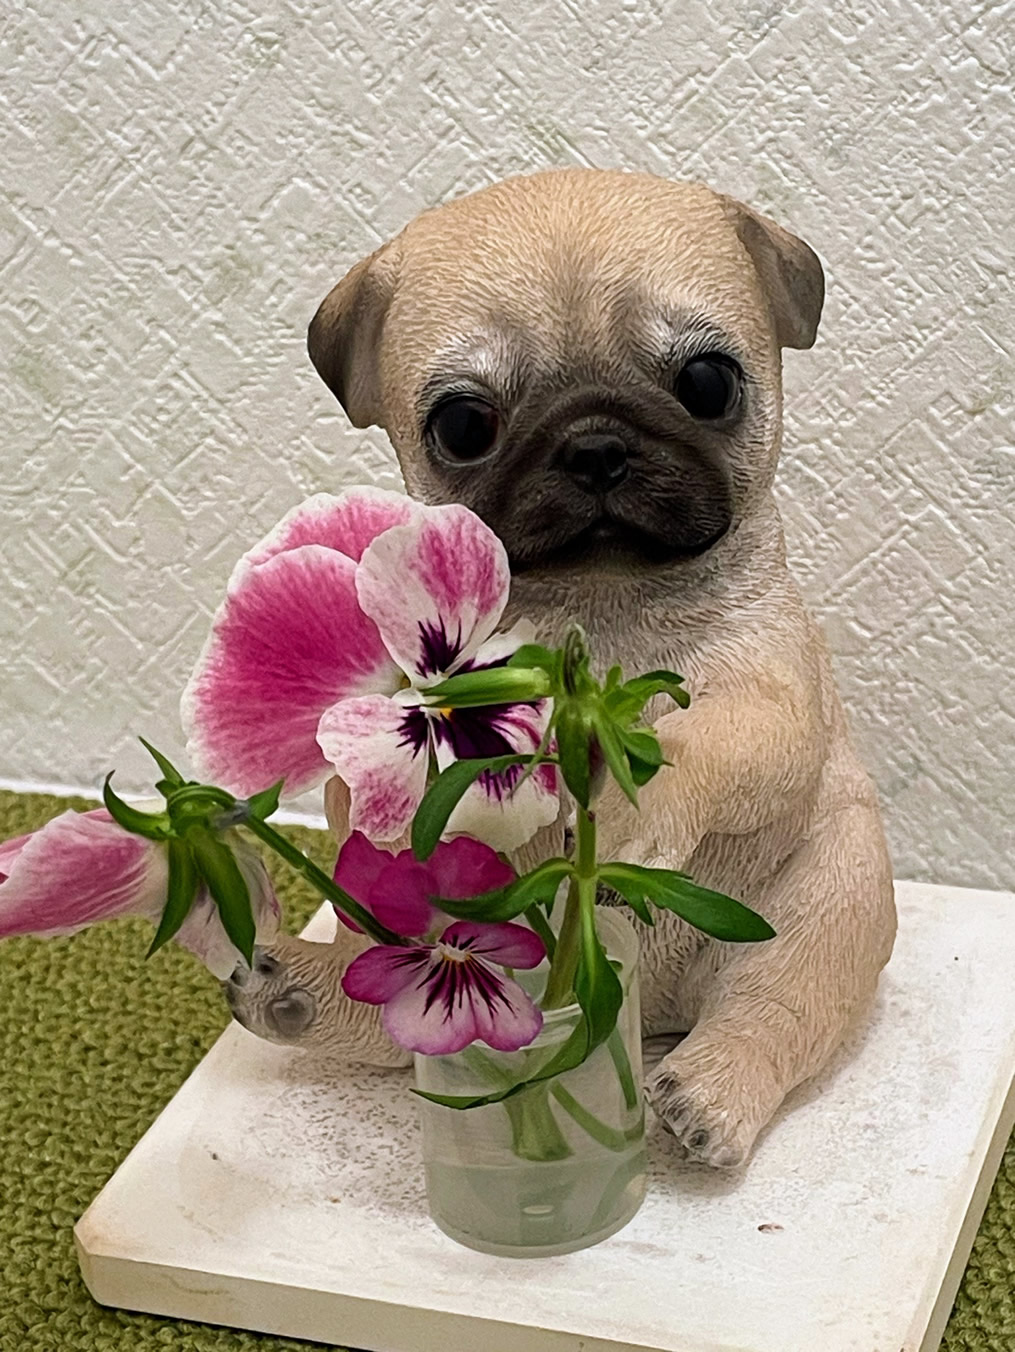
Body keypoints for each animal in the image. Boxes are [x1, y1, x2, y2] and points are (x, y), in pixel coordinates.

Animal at [224, 168, 896, 1169]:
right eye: (465, 425)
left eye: (707, 384)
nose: (595, 445)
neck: (601, 603)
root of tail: (654, 1011)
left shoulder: (766, 698)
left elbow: (704, 744)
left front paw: (635, 811)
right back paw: (298, 989)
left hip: (830, 901)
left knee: (773, 1006)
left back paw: (710, 1093)